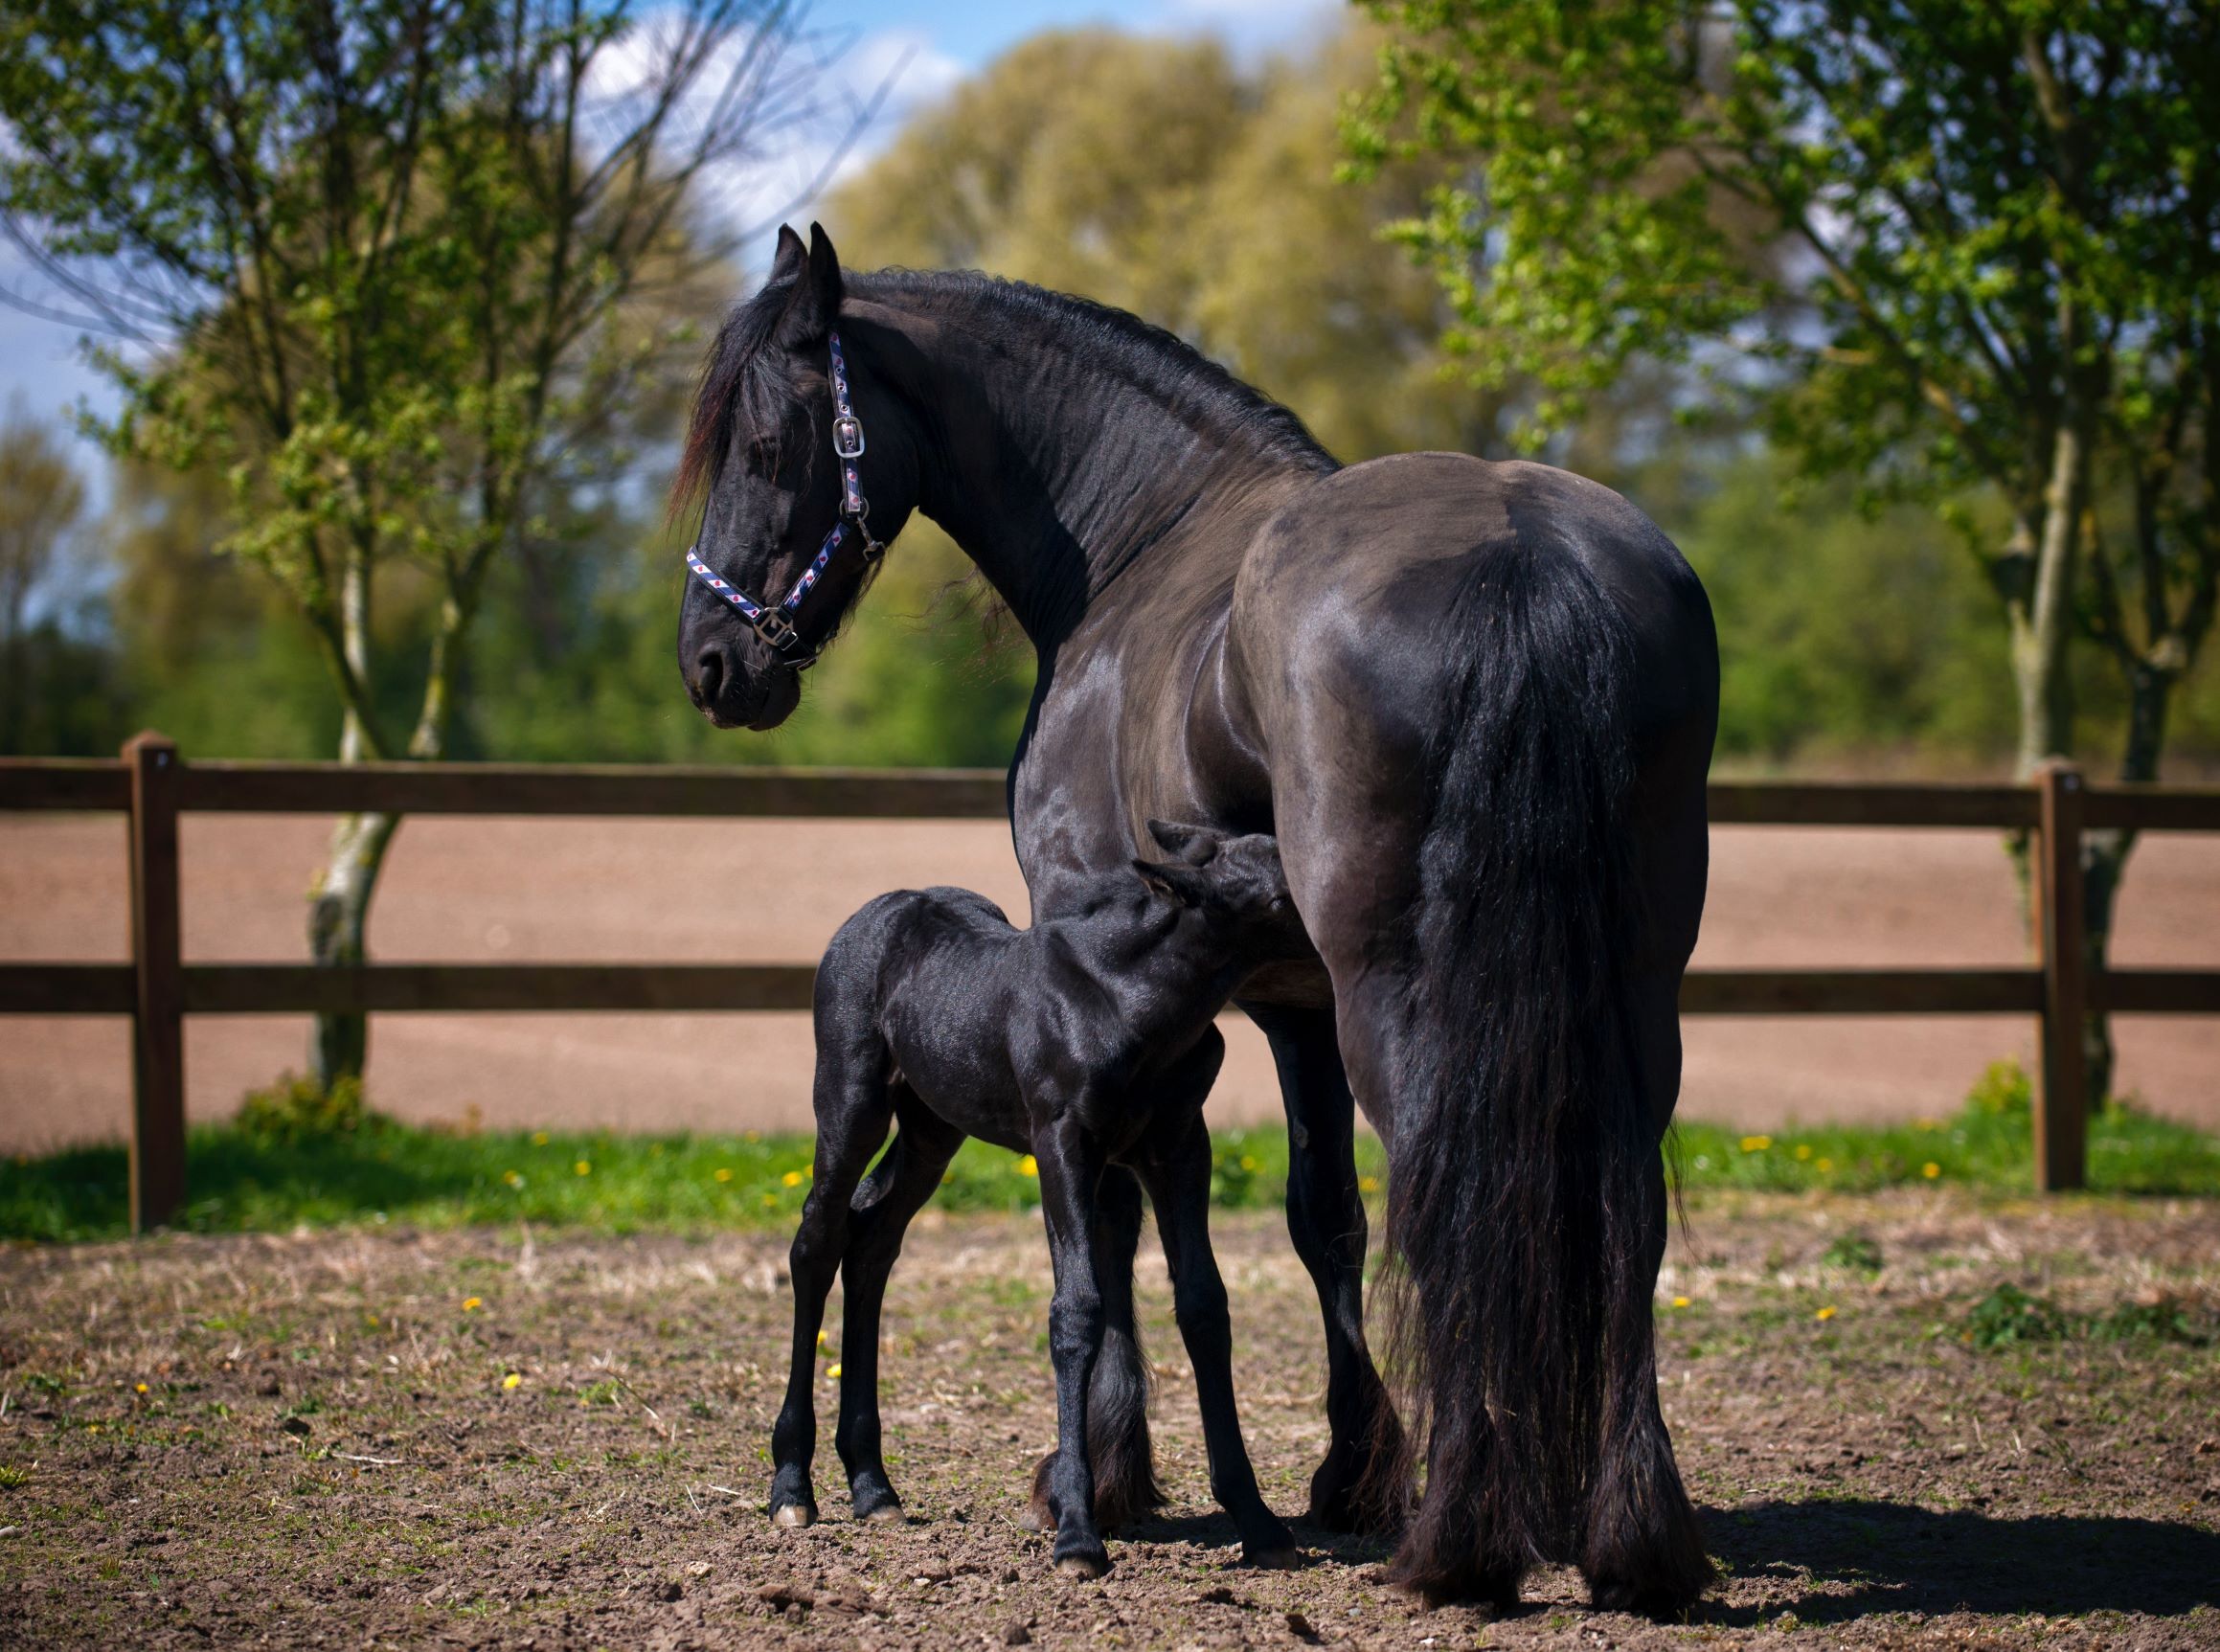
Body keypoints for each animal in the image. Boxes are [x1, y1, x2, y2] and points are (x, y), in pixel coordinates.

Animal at [771, 821, 1310, 1576]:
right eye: (1280, 892)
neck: (1127, 1000)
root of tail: (873, 914)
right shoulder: (1062, 1142)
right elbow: (1077, 1311)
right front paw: (1078, 1533)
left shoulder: (1180, 1146)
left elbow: (1205, 1305)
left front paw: (1257, 1520)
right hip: (851, 1101)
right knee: (817, 1242)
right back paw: (792, 1486)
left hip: (933, 1126)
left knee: (871, 1240)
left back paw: (874, 1486)